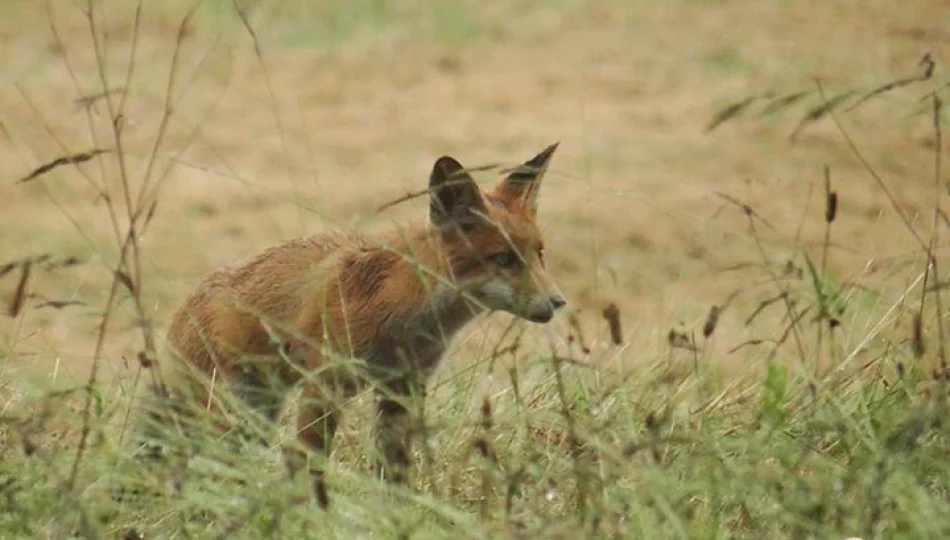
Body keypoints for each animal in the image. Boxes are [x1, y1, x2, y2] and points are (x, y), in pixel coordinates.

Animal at [156, 142, 568, 506]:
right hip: (227, 411)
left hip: (256, 413)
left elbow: (393, 472)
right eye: (503, 259)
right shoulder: (326, 382)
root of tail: (184, 304)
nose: (558, 302)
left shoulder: (403, 386)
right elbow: (305, 461)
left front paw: (395, 513)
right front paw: (308, 514)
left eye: (540, 254)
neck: (405, 316)